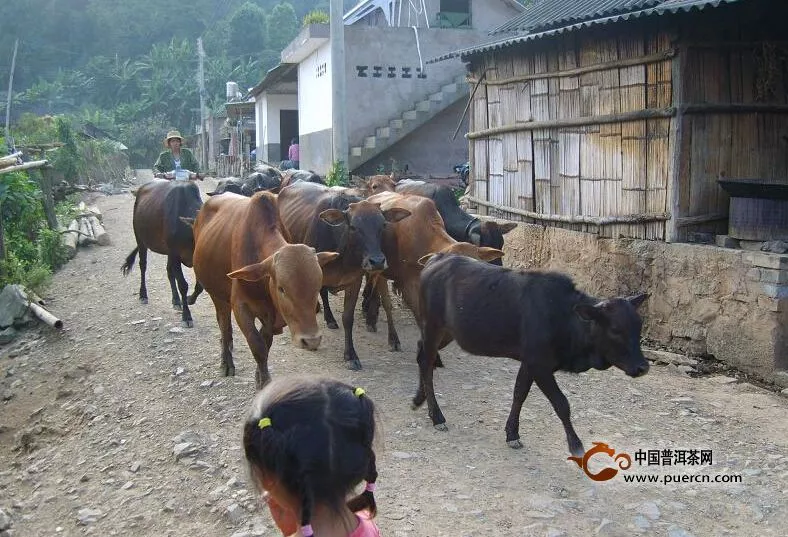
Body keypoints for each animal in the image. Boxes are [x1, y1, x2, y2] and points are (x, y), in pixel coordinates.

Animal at [193, 192, 338, 386]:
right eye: (282, 289)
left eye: (317, 287)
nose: (311, 340)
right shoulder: (240, 306)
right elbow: (257, 345)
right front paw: (264, 381)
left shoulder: (270, 315)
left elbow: (265, 342)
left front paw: (259, 375)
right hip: (217, 295)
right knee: (225, 326)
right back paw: (226, 361)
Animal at [278, 181, 412, 368]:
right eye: (353, 227)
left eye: (383, 225)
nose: (377, 261)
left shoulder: (354, 280)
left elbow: (348, 318)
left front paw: (351, 355)